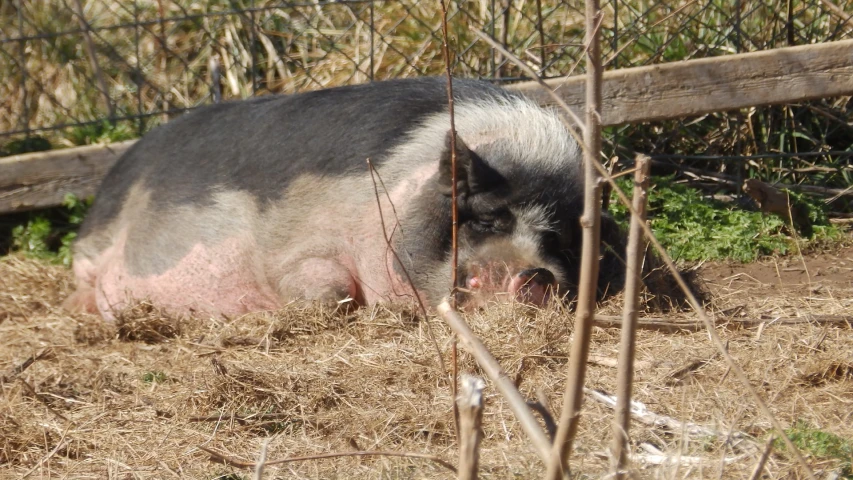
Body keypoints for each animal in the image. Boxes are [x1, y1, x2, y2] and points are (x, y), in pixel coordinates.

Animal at [66, 78, 624, 318]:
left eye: (560, 241)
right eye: (488, 219)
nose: (535, 275)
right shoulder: (292, 248)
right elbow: (326, 288)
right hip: (92, 246)